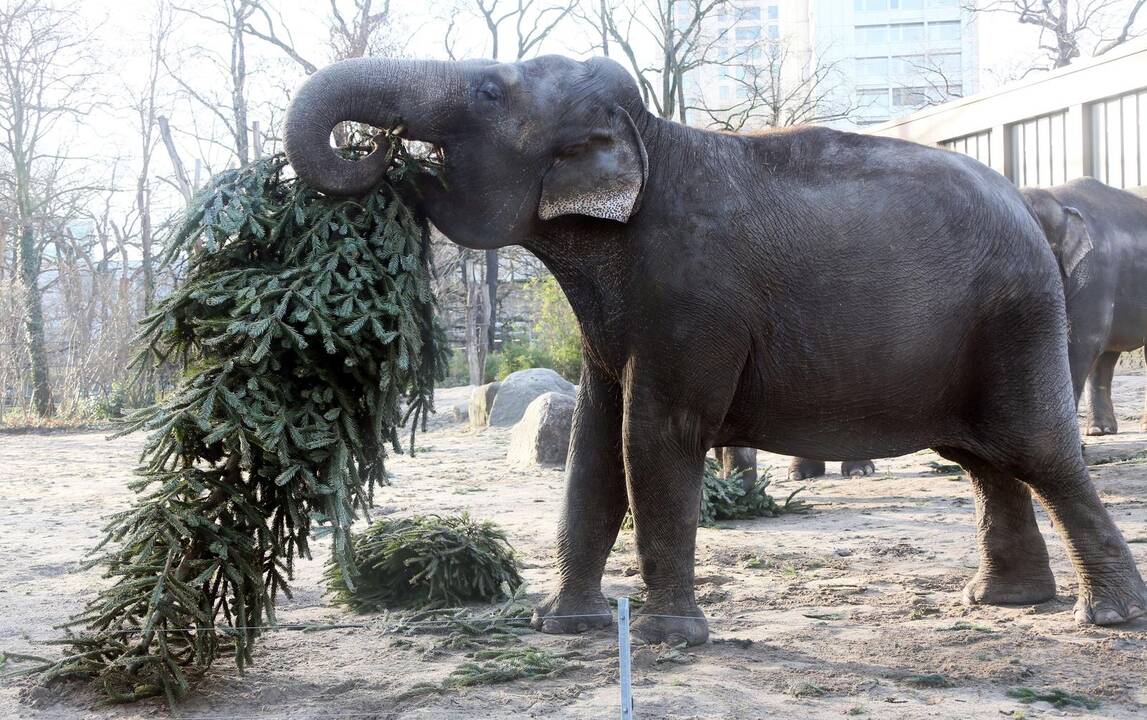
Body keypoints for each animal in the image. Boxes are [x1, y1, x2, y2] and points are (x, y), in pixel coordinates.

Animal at [279, 53, 1147, 642]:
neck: (651, 137)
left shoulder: (690, 299)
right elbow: (594, 445)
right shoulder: (613, 326)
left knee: (1035, 451)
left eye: (489, 91)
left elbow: (653, 438)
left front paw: (665, 638)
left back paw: (1102, 617)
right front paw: (560, 625)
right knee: (982, 459)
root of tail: (1027, 211)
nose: (382, 149)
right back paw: (999, 602)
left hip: (1015, 317)